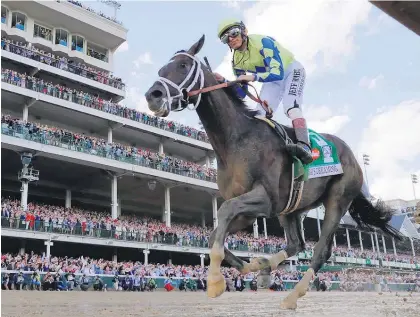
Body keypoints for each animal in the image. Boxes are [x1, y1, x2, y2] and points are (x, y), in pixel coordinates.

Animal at [144, 35, 400, 308]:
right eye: (160, 70)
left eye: (182, 65)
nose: (153, 96)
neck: (237, 139)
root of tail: (352, 156)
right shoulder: (250, 210)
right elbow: (215, 233)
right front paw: (249, 267)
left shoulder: (265, 199)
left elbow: (223, 212)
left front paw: (214, 280)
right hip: (292, 208)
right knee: (296, 243)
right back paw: (265, 265)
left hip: (337, 200)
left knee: (320, 250)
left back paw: (292, 294)